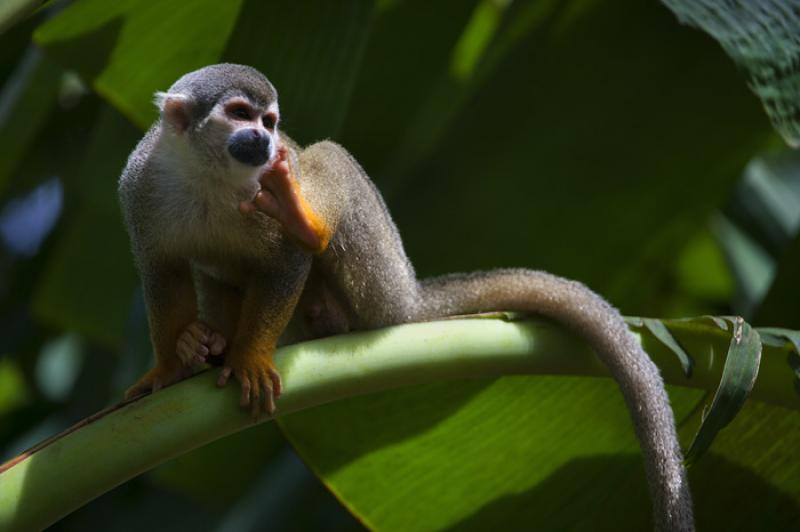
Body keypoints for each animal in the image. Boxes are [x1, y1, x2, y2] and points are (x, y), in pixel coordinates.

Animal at [117, 64, 692, 528]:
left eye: (271, 122)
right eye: (240, 114)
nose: (261, 140)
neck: (209, 176)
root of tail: (411, 297)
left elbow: (286, 263)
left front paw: (252, 356)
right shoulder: (139, 185)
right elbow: (161, 270)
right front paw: (169, 365)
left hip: (379, 278)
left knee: (325, 160)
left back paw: (306, 225)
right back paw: (206, 344)